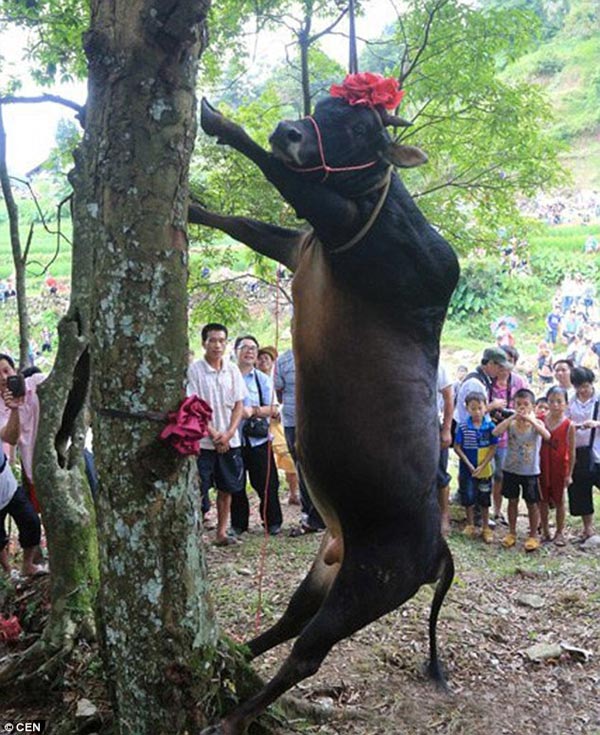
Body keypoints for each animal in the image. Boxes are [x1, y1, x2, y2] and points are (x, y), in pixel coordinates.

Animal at [192, 95, 460, 732]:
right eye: (325, 103)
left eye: (362, 127)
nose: (290, 130)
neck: (379, 202)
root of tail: (437, 546)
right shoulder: (301, 244)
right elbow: (243, 224)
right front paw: (189, 205)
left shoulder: (333, 224)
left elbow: (278, 172)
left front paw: (221, 122)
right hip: (327, 570)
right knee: (292, 620)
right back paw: (236, 652)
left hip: (367, 589)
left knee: (308, 652)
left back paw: (231, 717)